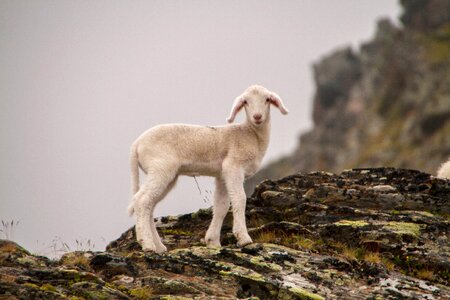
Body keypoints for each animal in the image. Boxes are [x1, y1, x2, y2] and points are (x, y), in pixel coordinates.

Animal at [126, 85, 288, 253]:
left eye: (267, 99)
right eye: (245, 102)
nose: (257, 116)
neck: (251, 134)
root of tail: (136, 144)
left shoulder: (222, 175)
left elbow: (221, 205)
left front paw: (213, 241)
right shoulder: (233, 167)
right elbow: (240, 199)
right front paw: (243, 238)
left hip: (166, 175)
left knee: (149, 205)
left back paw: (159, 246)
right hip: (160, 168)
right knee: (142, 200)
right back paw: (147, 244)